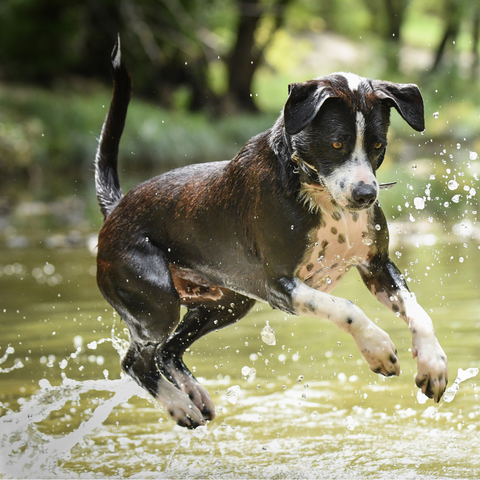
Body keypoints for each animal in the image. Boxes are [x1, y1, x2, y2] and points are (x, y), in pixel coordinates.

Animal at [95, 41, 448, 430]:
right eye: (337, 144)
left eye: (377, 145)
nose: (365, 195)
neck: (314, 189)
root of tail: (115, 209)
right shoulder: (280, 286)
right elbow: (346, 308)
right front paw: (377, 348)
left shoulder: (378, 266)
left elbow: (419, 313)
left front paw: (433, 364)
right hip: (155, 304)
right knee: (136, 361)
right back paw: (179, 407)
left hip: (226, 304)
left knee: (169, 352)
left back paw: (195, 397)